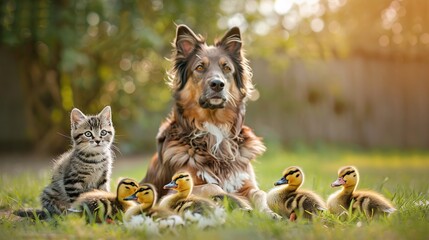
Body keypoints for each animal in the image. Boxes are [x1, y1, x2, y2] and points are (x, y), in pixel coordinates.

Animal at [140, 24, 278, 218]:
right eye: (200, 67)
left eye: (226, 68)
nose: (217, 84)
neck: (215, 128)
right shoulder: (174, 189)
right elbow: (212, 186)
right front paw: (241, 205)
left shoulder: (246, 182)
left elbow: (260, 193)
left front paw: (270, 214)